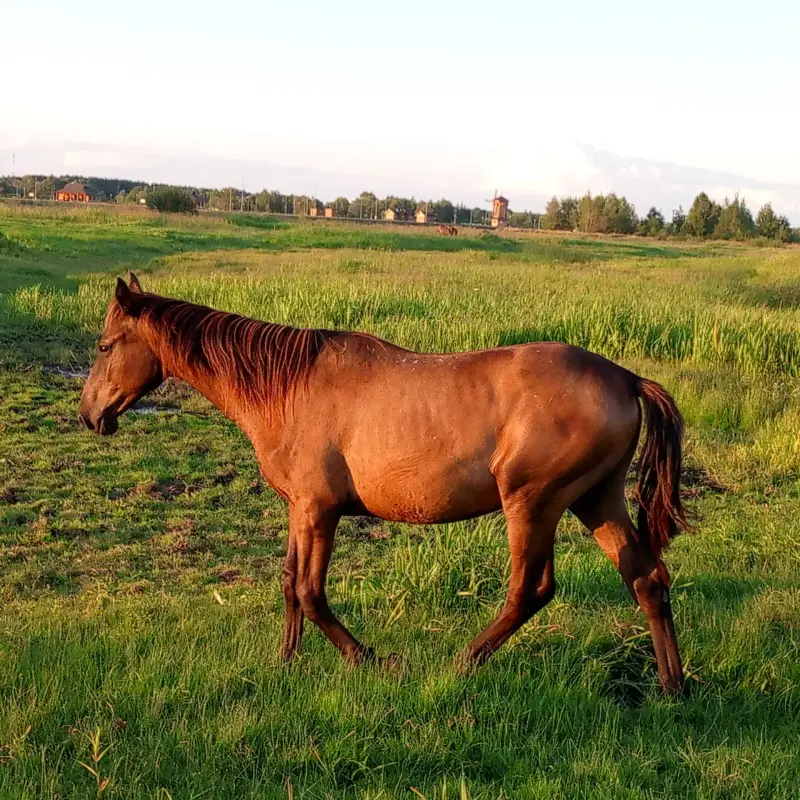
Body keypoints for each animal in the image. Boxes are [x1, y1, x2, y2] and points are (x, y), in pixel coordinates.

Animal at [78, 276, 688, 692]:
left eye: (105, 346)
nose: (88, 415)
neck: (289, 387)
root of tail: (626, 378)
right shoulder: (299, 508)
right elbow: (289, 585)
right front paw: (286, 662)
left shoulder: (318, 510)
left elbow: (310, 592)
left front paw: (367, 658)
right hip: (595, 499)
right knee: (647, 579)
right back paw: (672, 686)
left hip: (533, 504)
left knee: (530, 591)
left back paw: (462, 662)